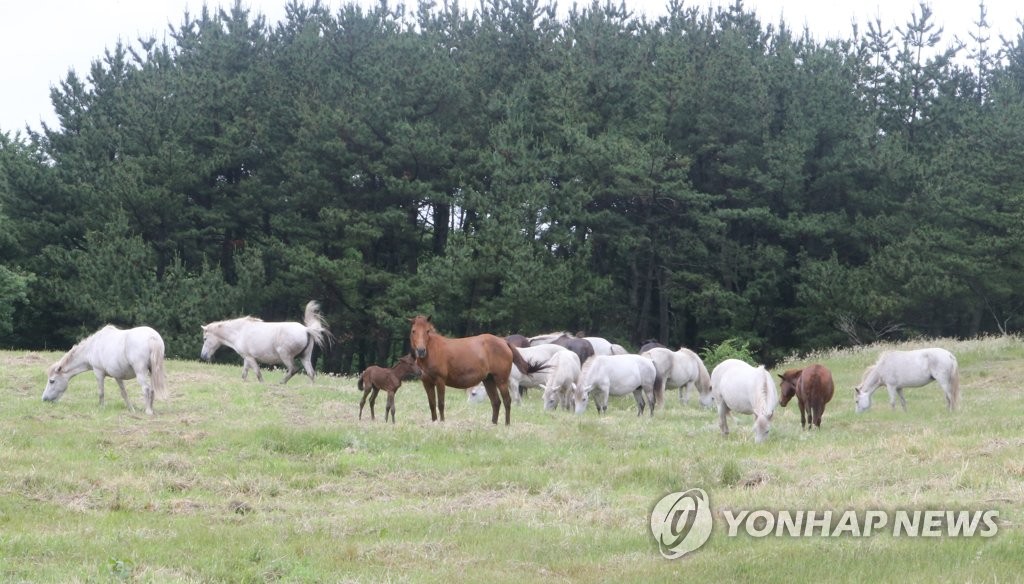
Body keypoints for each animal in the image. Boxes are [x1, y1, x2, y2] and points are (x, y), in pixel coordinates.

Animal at [197, 299, 329, 381]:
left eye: (205, 338)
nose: (203, 356)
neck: (239, 331)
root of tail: (306, 329)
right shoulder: (247, 358)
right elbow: (244, 374)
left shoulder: (250, 358)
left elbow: (258, 374)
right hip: (305, 357)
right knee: (311, 374)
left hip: (286, 356)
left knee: (293, 370)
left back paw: (281, 383)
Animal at [407, 313, 536, 422]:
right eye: (413, 331)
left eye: (427, 331)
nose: (421, 351)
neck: (432, 351)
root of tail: (503, 342)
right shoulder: (426, 382)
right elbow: (432, 404)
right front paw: (434, 422)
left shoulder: (440, 381)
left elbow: (441, 403)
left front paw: (442, 422)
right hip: (489, 380)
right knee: (496, 402)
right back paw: (493, 424)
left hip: (501, 380)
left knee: (507, 401)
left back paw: (507, 424)